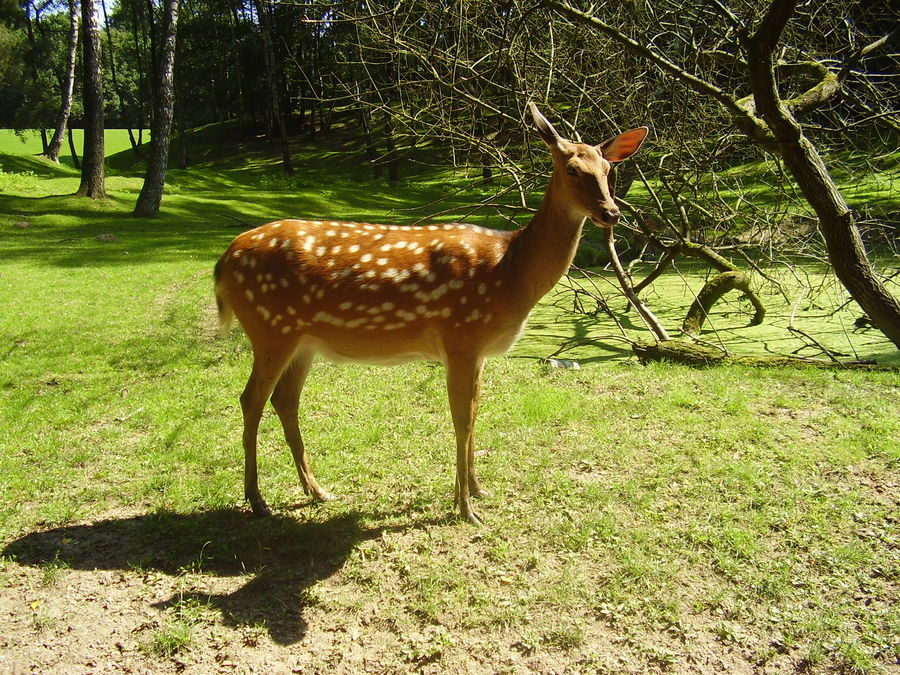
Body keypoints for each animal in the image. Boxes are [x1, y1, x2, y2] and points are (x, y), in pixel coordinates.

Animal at [213, 103, 648, 524]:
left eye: (608, 169)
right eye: (572, 169)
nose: (612, 213)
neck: (510, 271)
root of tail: (223, 262)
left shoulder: (478, 350)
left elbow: (475, 411)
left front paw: (477, 490)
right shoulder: (461, 336)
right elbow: (462, 418)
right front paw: (466, 508)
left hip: (302, 340)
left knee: (284, 400)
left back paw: (317, 491)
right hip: (270, 327)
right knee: (251, 399)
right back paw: (257, 500)